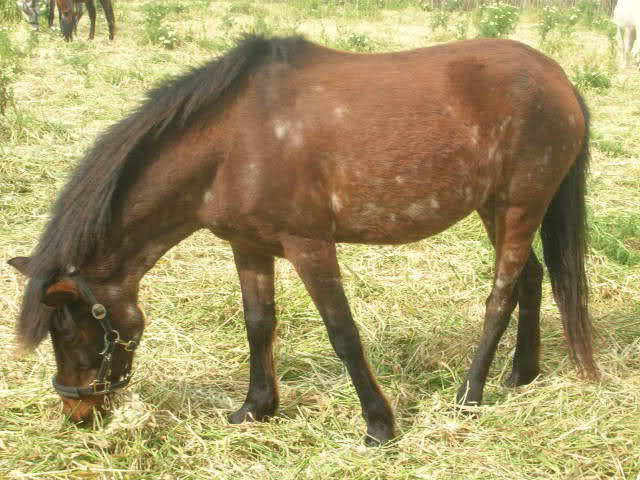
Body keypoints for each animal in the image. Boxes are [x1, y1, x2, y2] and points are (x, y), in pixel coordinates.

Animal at [7, 35, 596, 444]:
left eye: (68, 329)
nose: (78, 412)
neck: (231, 142)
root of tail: (560, 80)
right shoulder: (248, 247)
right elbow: (258, 325)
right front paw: (256, 408)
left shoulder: (310, 245)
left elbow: (343, 333)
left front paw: (379, 426)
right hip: (495, 206)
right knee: (530, 278)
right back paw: (520, 374)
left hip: (520, 205)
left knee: (501, 293)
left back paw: (470, 393)